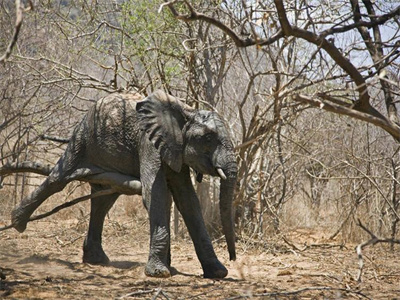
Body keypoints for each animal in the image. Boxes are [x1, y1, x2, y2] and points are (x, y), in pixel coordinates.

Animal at [10, 89, 238, 278]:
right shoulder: (148, 144)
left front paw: (217, 272)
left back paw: (97, 260)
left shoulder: (176, 151)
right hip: (82, 136)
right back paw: (17, 222)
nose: (233, 257)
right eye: (208, 138)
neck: (186, 112)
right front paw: (159, 273)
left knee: (104, 201)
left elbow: (187, 201)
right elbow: (156, 195)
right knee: (59, 178)